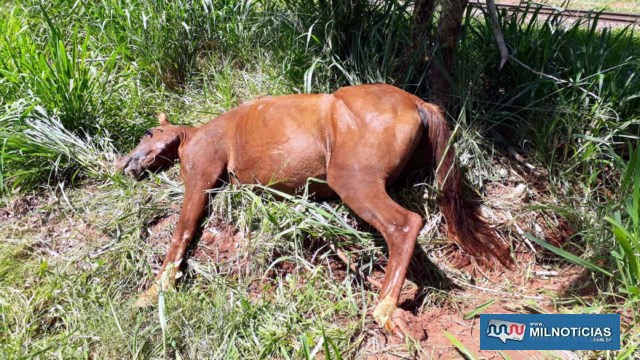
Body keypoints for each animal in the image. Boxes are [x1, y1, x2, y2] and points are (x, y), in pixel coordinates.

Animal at [114, 83, 504, 336]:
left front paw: (154, 292)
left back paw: (384, 310)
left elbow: (182, 232)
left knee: (405, 225)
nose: (122, 166)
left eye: (147, 134)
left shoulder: (201, 176)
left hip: (354, 181)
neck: (194, 136)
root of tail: (417, 103)